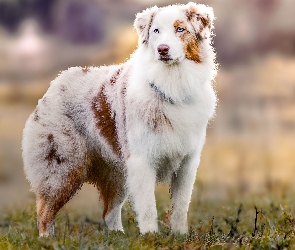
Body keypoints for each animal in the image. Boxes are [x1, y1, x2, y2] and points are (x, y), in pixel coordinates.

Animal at [22, 2, 217, 236]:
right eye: (156, 31)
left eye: (180, 29)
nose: (162, 49)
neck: (171, 87)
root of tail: (55, 84)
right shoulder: (142, 161)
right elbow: (149, 207)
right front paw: (151, 237)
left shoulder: (186, 163)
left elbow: (180, 207)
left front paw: (180, 236)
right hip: (62, 168)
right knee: (44, 211)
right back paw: (47, 239)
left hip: (117, 174)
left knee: (109, 212)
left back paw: (118, 236)